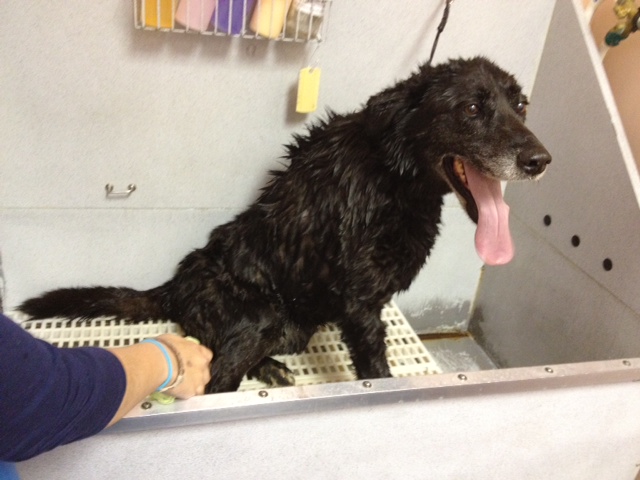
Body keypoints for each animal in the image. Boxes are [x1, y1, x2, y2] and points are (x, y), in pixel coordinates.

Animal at [19, 57, 551, 393]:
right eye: (472, 108)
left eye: (522, 105)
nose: (540, 160)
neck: (395, 178)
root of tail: (174, 286)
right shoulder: (361, 305)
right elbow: (375, 370)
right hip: (263, 317)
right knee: (217, 377)